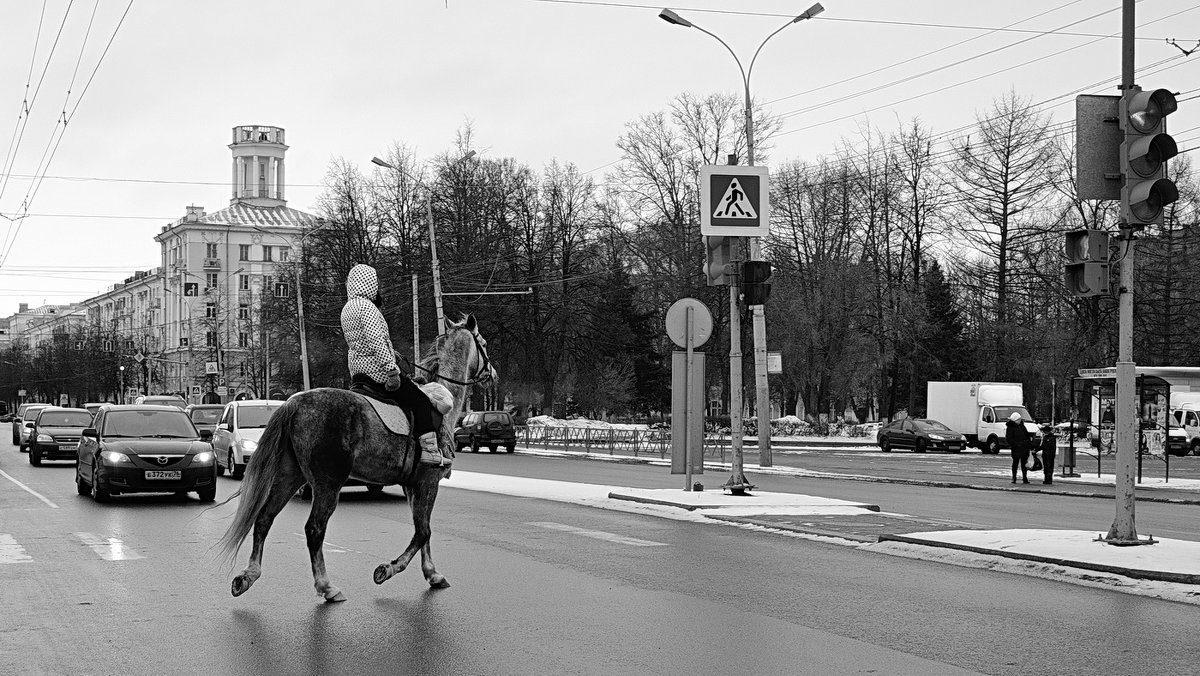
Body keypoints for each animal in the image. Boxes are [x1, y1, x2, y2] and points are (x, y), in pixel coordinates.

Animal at [218, 314, 494, 602]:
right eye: (484, 344)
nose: (493, 374)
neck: (440, 401)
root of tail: (294, 402)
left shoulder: (413, 486)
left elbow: (424, 531)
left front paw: (432, 574)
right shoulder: (429, 482)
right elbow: (423, 532)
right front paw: (388, 569)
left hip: (289, 477)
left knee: (264, 518)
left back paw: (248, 576)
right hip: (327, 485)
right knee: (314, 529)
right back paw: (326, 586)